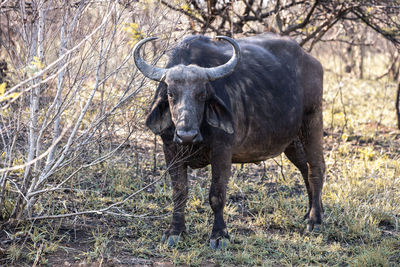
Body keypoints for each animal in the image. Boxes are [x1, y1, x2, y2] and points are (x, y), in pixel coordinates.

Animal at [134, 33, 324, 249]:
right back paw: (311, 212)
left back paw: (315, 220)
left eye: (202, 94)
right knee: (304, 168)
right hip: (291, 140)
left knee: (316, 168)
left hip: (312, 121)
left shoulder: (222, 150)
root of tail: (311, 61)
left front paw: (219, 235)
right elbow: (179, 192)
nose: (186, 135)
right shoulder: (170, 149)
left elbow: (216, 195)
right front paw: (175, 231)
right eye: (171, 94)